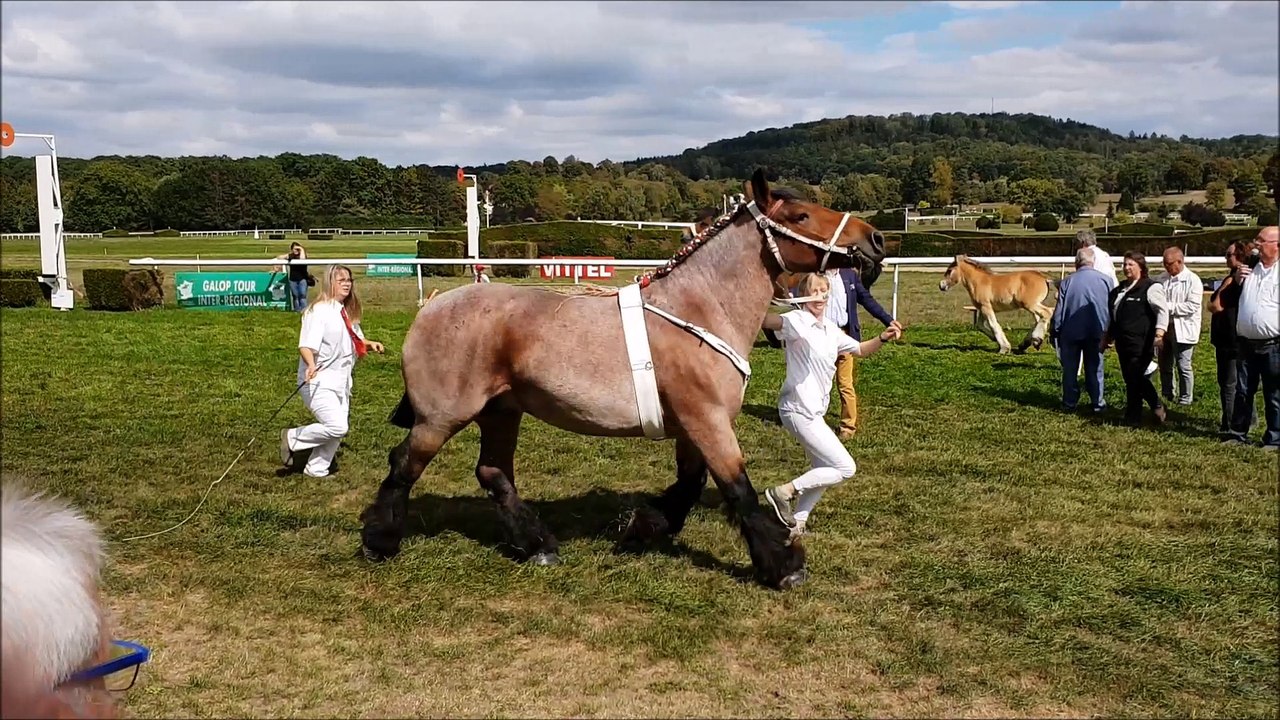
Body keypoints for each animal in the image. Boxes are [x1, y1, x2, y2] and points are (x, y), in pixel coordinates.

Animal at [359, 169, 887, 590]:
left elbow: (688, 486)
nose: (875, 240)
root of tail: (433, 306)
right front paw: (784, 566)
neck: (698, 311)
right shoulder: (708, 421)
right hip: (442, 417)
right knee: (404, 464)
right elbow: (738, 489)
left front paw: (641, 528)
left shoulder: (692, 427)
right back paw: (378, 542)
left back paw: (537, 545)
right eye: (800, 215)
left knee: (493, 473)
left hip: (501, 411)